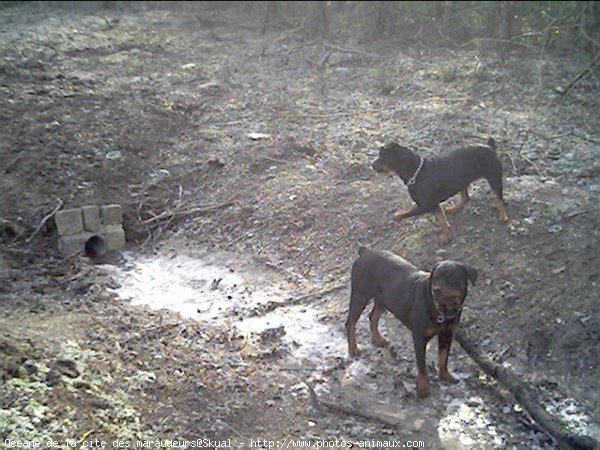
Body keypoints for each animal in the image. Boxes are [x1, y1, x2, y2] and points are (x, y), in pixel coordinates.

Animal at [346, 248, 478, 400]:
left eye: (451, 277)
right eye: (436, 278)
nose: (436, 288)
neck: (442, 310)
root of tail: (365, 251)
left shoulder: (447, 334)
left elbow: (443, 358)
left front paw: (445, 376)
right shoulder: (419, 338)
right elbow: (422, 366)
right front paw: (423, 388)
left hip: (383, 299)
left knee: (373, 317)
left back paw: (377, 339)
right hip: (360, 295)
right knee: (350, 323)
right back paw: (353, 348)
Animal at [372, 139, 508, 244]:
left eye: (383, 157)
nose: (371, 164)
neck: (417, 172)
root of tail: (490, 147)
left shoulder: (426, 205)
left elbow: (408, 213)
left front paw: (397, 216)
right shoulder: (434, 205)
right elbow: (442, 219)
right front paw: (447, 235)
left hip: (494, 178)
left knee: (500, 199)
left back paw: (503, 217)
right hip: (460, 179)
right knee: (465, 197)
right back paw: (454, 209)